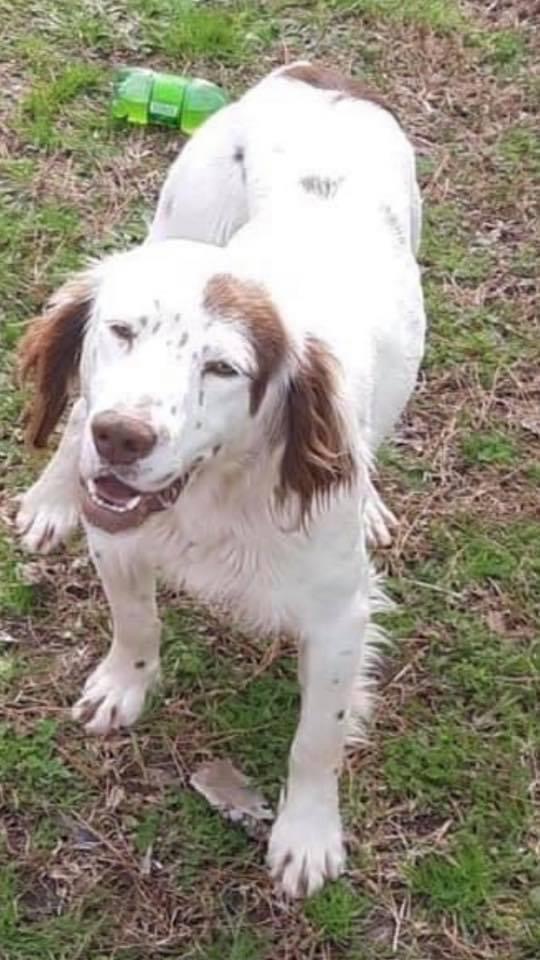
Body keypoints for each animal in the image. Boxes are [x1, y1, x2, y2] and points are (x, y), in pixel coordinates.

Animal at [15, 63, 426, 896]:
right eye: (122, 330)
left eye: (223, 368)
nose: (124, 436)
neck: (214, 492)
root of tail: (311, 72)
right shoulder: (119, 538)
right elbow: (136, 623)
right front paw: (124, 686)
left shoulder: (340, 616)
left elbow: (318, 737)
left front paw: (307, 834)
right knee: (71, 420)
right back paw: (51, 498)